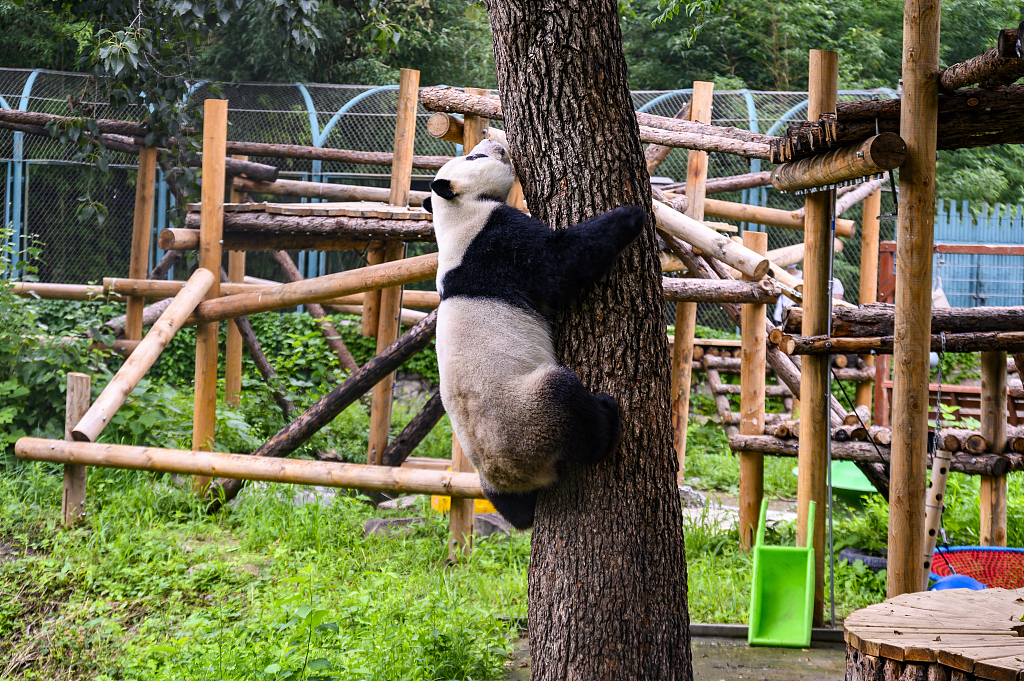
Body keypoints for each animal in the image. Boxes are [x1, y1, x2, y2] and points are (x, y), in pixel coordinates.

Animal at [421, 139, 643, 532]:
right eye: (474, 157)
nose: (494, 142)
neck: (452, 216)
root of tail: (517, 476)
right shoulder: (494, 240)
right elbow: (559, 264)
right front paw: (632, 214)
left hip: (491, 476)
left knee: (516, 513)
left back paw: (522, 511)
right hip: (530, 418)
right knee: (566, 401)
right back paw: (607, 419)